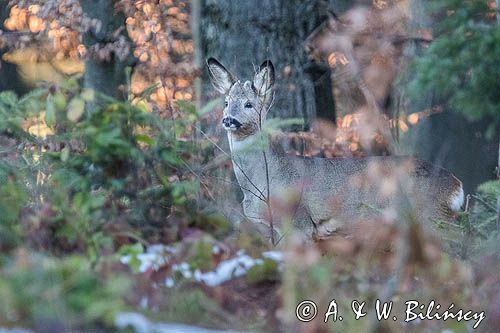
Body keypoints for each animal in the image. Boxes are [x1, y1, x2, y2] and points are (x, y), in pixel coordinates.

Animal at [205, 58, 462, 243]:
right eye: (226, 103)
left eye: (249, 104)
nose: (228, 120)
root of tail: (456, 184)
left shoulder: (299, 223)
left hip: (434, 217)